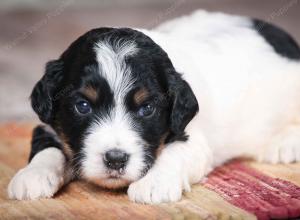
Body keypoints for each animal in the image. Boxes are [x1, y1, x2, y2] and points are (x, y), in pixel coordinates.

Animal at [7, 9, 300, 203]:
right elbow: (47, 147)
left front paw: (153, 184)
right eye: (82, 106)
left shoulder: (193, 138)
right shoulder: (51, 125)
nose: (115, 159)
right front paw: (32, 176)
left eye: (146, 109)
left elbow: (174, 154)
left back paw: (284, 144)